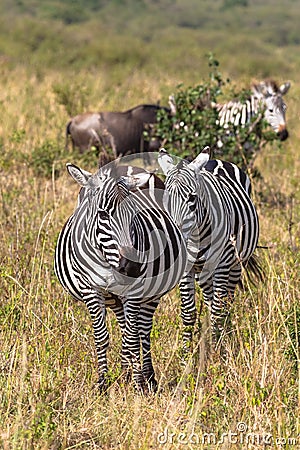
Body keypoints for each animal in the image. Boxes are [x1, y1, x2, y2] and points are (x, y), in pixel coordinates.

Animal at [53, 163, 188, 394]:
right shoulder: (91, 290)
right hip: (114, 298)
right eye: (102, 214)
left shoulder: (133, 293)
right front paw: (102, 384)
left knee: (142, 331)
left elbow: (134, 338)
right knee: (125, 327)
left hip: (151, 294)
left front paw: (138, 386)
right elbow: (102, 337)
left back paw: (148, 378)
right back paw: (125, 373)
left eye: (134, 215)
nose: (132, 267)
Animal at [157, 147, 260, 348]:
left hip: (235, 264)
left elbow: (218, 311)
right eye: (166, 198)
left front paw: (218, 350)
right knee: (210, 299)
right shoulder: (187, 269)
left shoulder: (222, 264)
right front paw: (186, 353)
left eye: (192, 198)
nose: (175, 236)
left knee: (226, 302)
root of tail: (216, 160)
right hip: (203, 272)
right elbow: (188, 313)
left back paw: (226, 335)